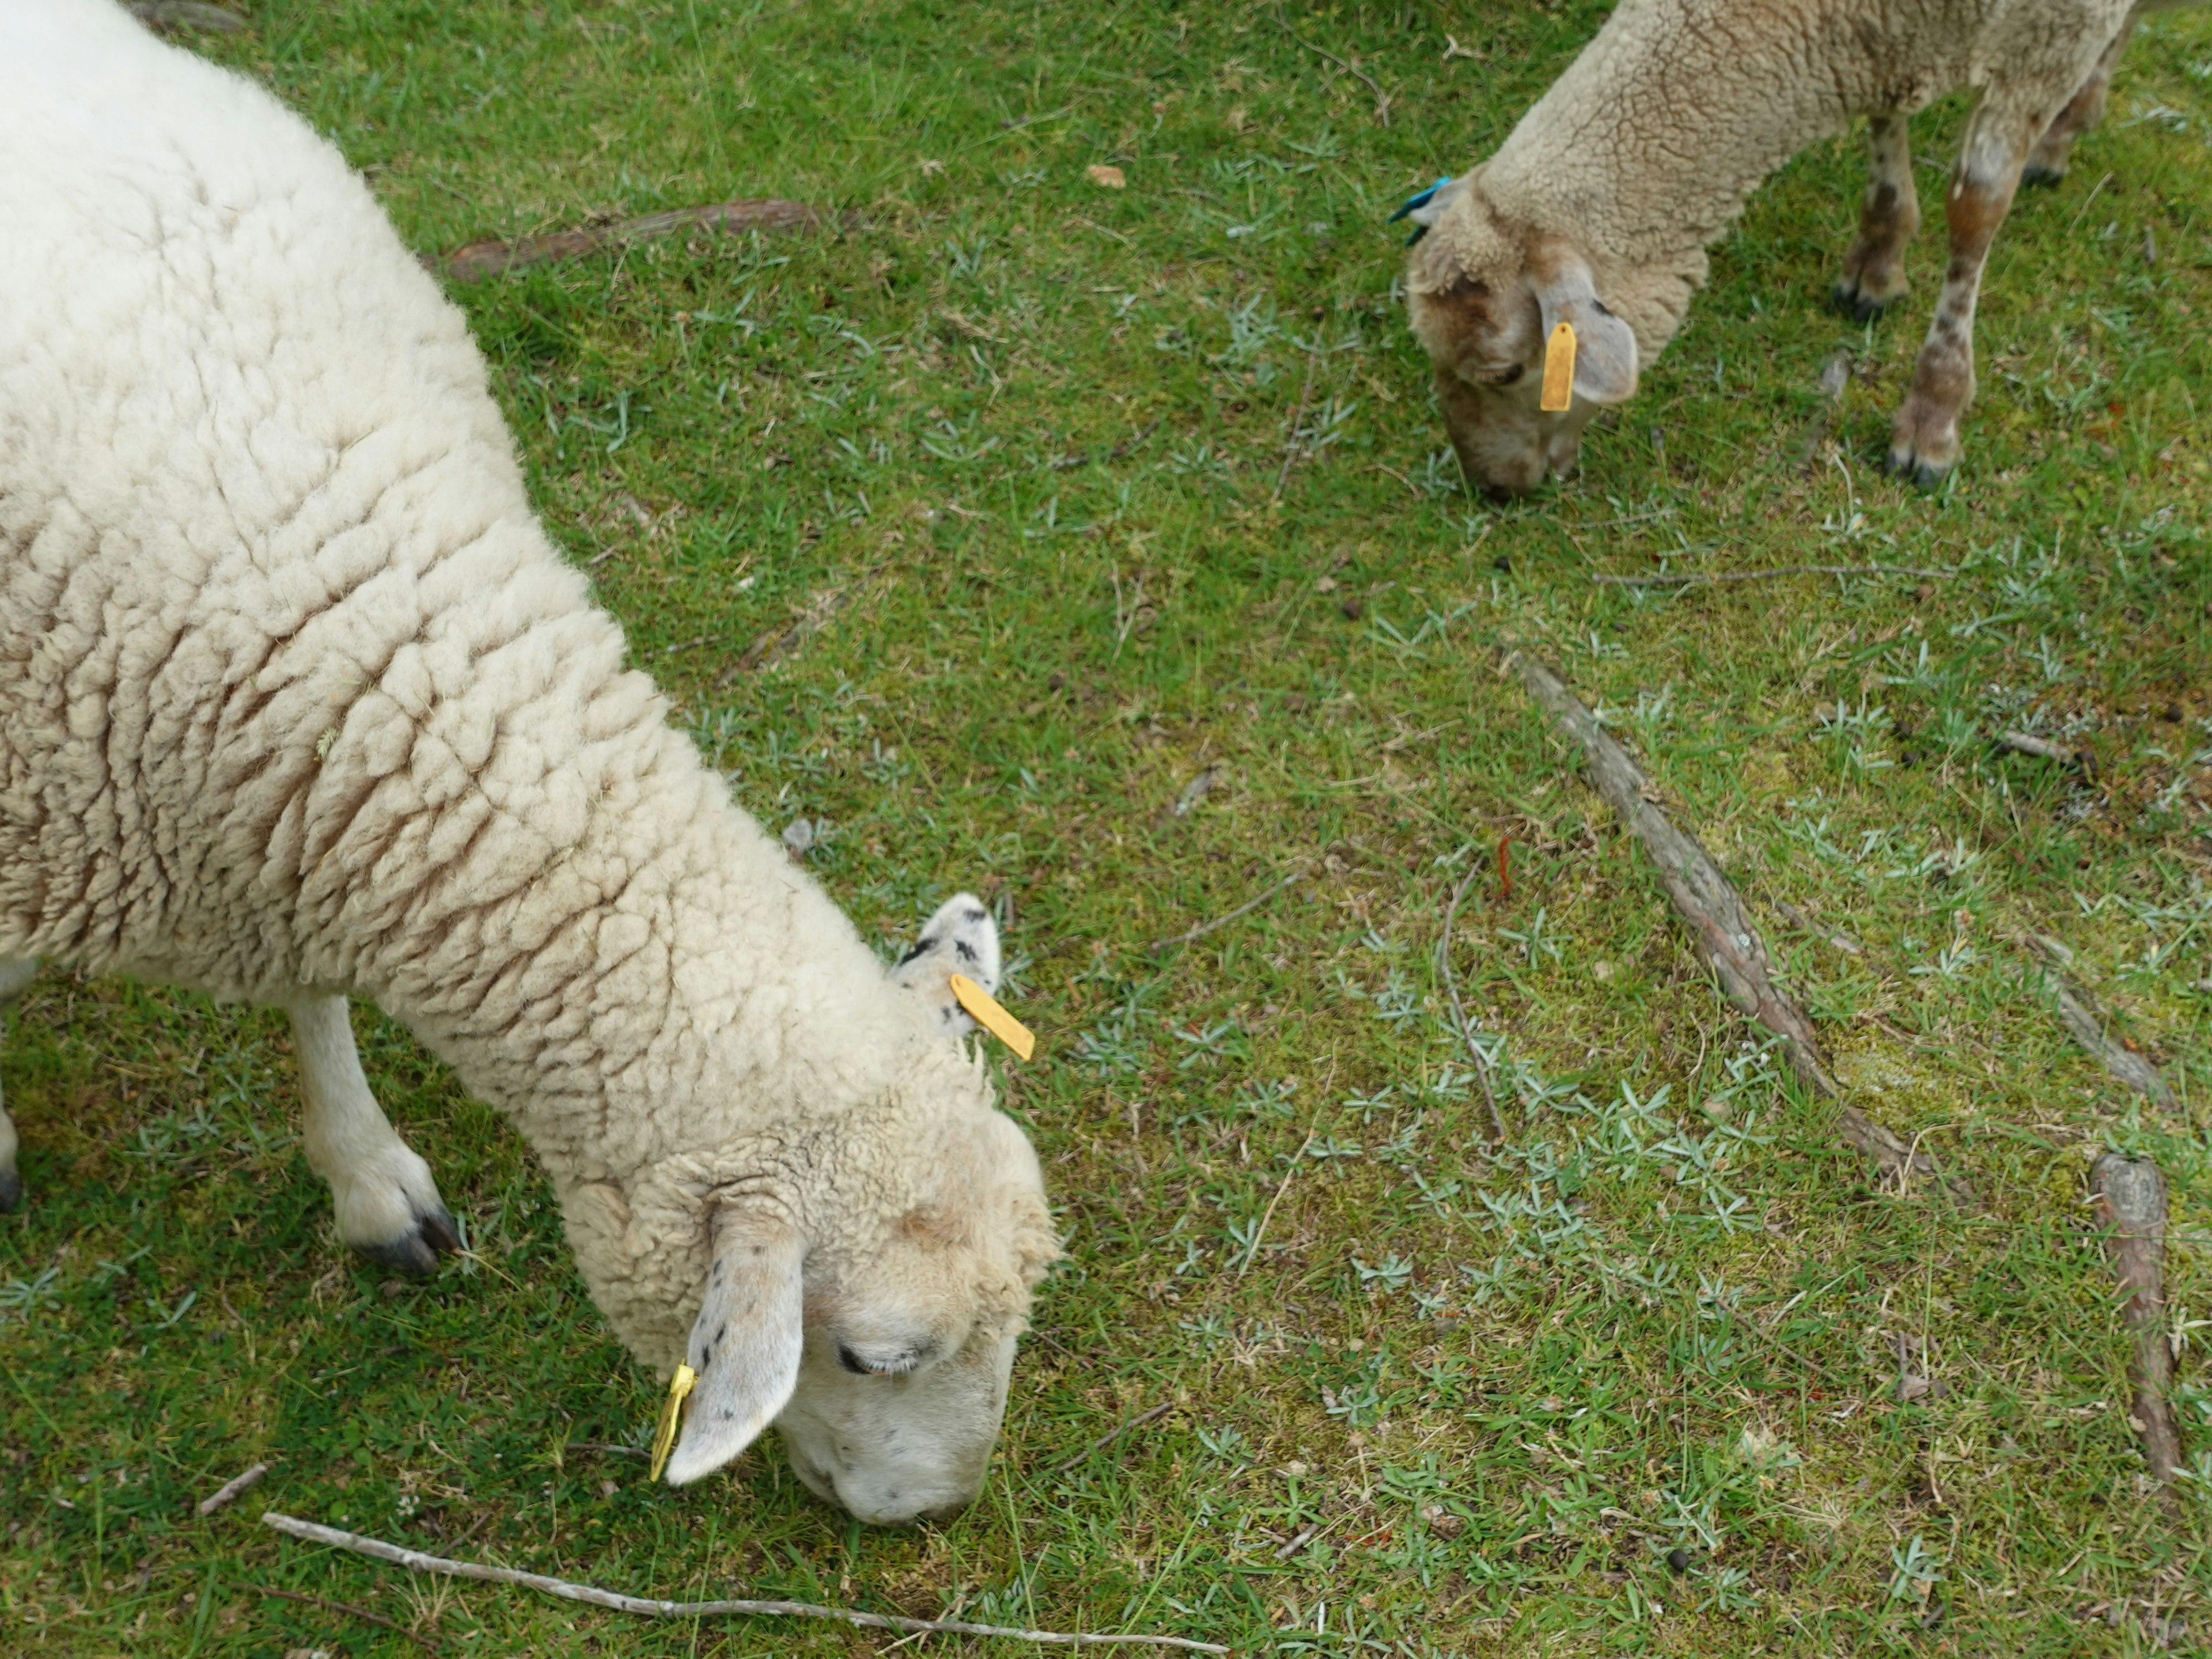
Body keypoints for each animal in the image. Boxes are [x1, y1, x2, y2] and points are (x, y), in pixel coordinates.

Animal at [1397, 0, 2194, 493]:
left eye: (1506, 372)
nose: (1492, 489)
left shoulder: (2047, 33)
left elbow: (1975, 213)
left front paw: (1932, 414)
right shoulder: (1880, 33)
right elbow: (1886, 117)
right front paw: (1878, 259)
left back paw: (2068, 128)